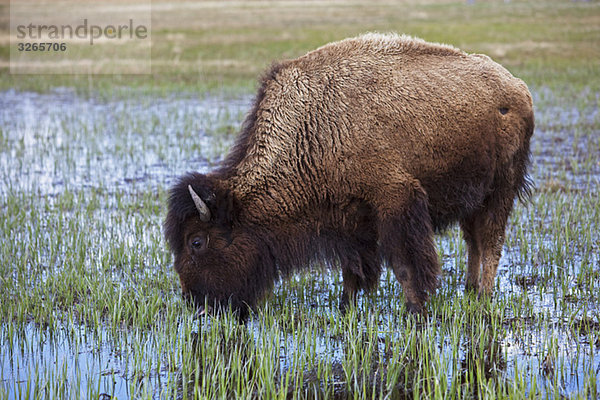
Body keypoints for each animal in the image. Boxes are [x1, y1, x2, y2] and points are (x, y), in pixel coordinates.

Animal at [164, 32, 536, 320]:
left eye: (196, 241)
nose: (196, 304)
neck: (312, 127)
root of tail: (517, 88)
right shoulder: (349, 220)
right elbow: (353, 269)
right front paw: (345, 307)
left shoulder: (396, 201)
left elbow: (404, 263)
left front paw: (415, 310)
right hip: (475, 198)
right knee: (474, 241)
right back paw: (470, 290)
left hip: (500, 191)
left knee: (490, 242)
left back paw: (483, 296)